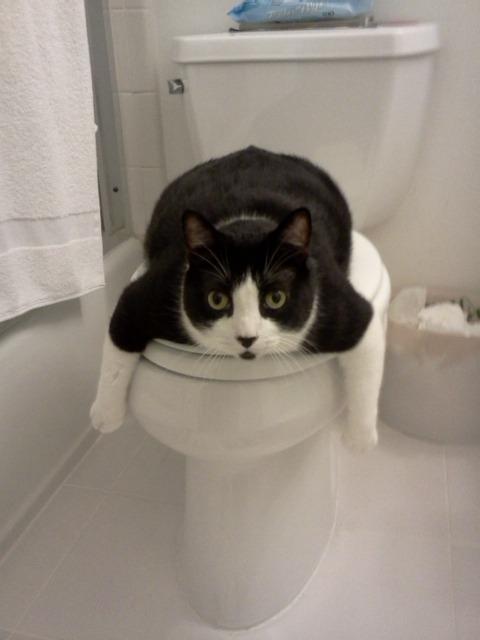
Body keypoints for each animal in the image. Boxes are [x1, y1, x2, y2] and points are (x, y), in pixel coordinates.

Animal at [90, 146, 385, 451]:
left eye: (276, 298)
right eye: (217, 299)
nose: (247, 338)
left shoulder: (335, 302)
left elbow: (366, 357)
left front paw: (360, 439)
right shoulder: (158, 289)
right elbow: (120, 336)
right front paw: (105, 415)